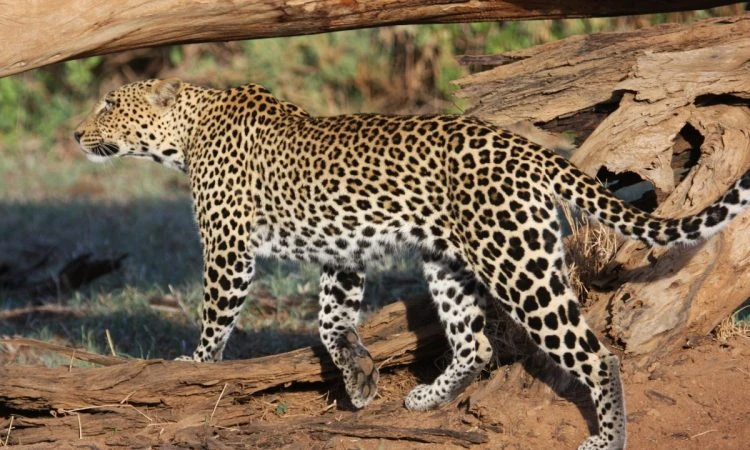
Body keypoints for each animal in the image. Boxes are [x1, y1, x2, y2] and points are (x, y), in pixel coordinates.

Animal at [74, 78, 750, 450]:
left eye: (108, 106)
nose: (78, 134)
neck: (184, 135)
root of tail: (525, 148)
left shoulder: (228, 247)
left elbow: (216, 318)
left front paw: (195, 367)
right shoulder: (341, 250)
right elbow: (330, 320)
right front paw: (360, 379)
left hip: (517, 261)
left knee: (593, 351)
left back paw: (609, 438)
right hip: (447, 263)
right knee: (476, 344)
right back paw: (426, 399)